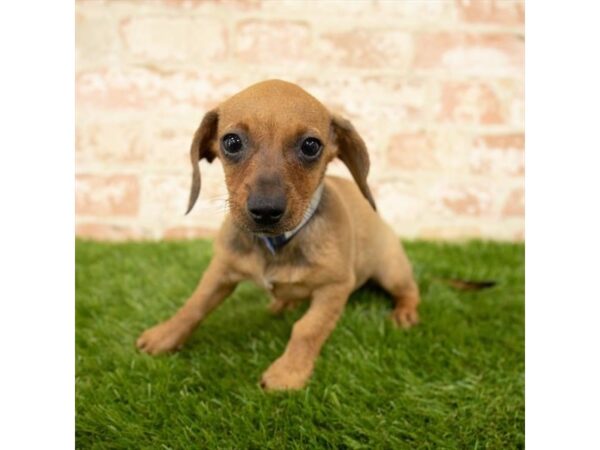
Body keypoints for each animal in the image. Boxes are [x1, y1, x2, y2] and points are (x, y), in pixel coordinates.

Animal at [137, 81, 420, 390]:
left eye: (310, 146)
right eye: (231, 142)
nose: (265, 210)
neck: (276, 244)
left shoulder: (335, 287)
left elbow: (308, 329)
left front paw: (289, 372)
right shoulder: (221, 270)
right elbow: (194, 305)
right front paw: (165, 335)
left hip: (392, 272)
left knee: (410, 291)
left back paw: (405, 313)